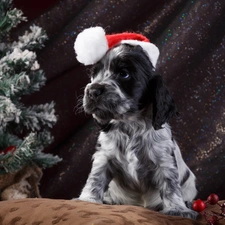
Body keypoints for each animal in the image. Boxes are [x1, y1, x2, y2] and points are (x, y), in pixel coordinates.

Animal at [74, 27, 197, 219]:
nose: (92, 91)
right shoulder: (104, 156)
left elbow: (170, 185)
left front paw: (177, 209)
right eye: (94, 74)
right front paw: (87, 200)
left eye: (124, 74)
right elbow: (95, 178)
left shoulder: (164, 160)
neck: (130, 124)